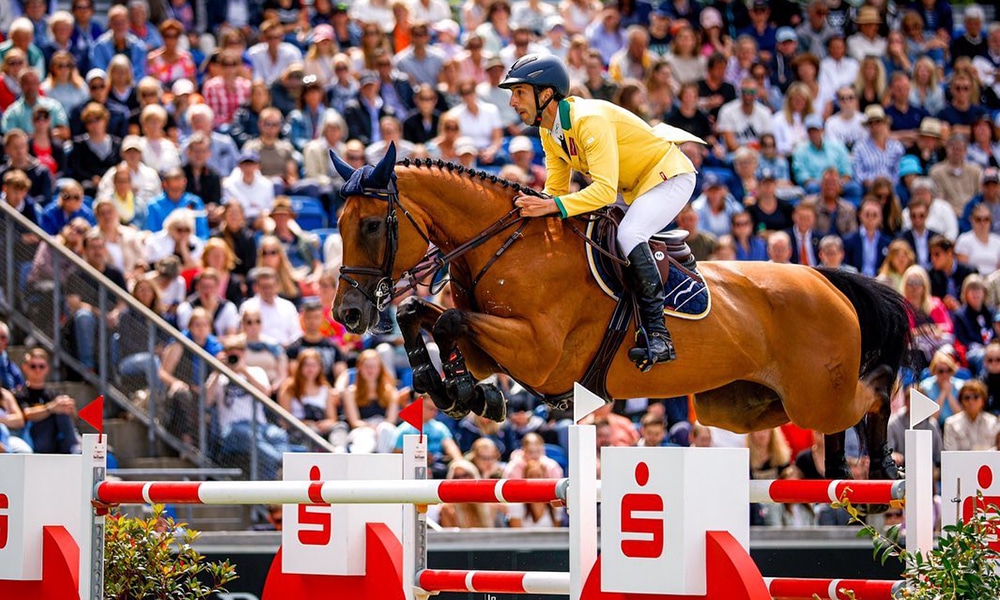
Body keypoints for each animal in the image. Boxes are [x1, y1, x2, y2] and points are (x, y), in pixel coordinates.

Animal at [332, 145, 912, 482]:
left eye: (371, 226)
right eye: (338, 225)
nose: (349, 313)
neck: (507, 246)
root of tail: (826, 281)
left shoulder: (539, 353)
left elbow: (447, 321)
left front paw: (464, 391)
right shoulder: (493, 350)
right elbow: (419, 313)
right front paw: (452, 387)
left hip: (813, 394)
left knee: (874, 390)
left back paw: (885, 464)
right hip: (746, 406)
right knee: (834, 420)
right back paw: (842, 471)